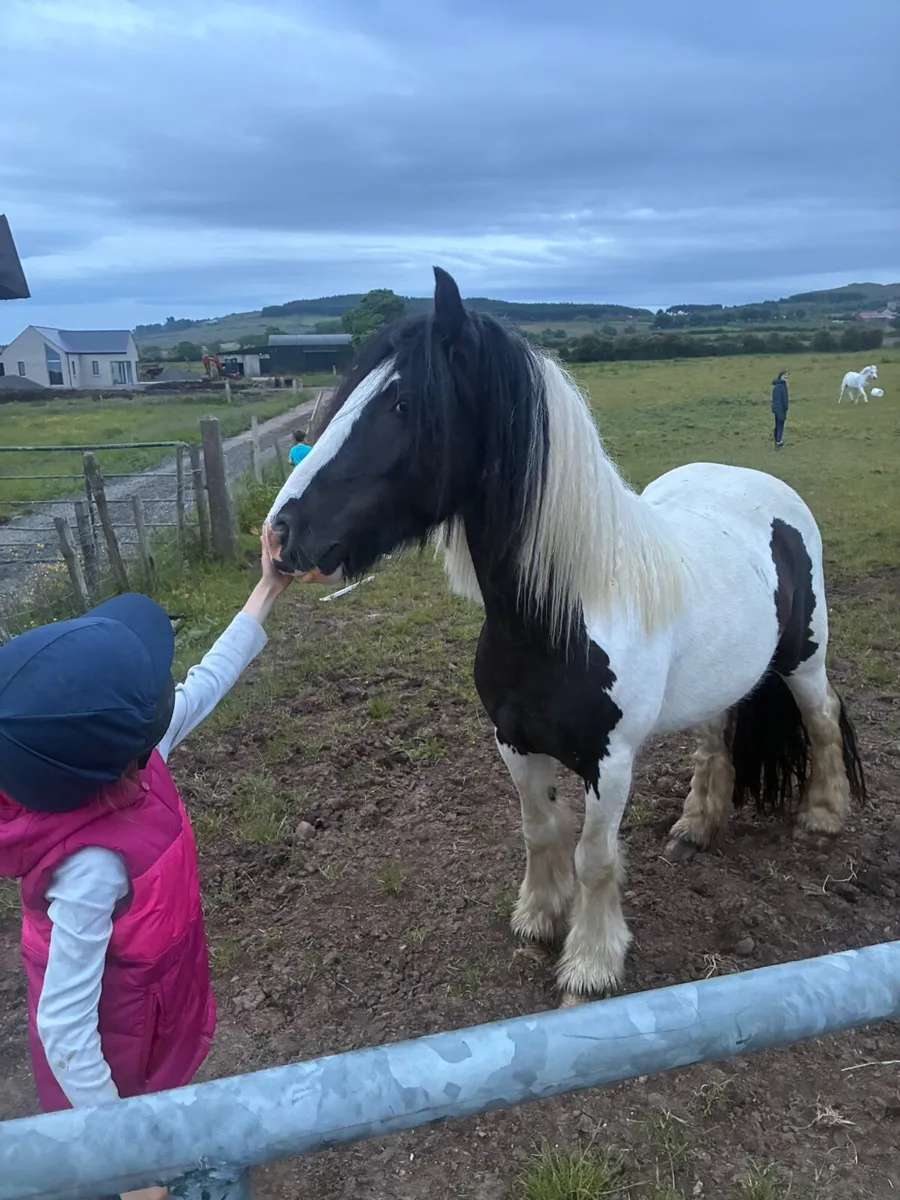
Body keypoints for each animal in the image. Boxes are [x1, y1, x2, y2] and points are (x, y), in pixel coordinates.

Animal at [264, 267, 866, 1006]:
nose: (281, 533)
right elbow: (541, 830)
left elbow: (594, 856)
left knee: (822, 719)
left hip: (804, 659)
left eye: (403, 403)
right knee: (715, 734)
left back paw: (822, 816)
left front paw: (591, 964)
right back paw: (696, 825)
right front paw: (539, 916)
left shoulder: (611, 761)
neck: (561, 616)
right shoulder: (515, 742)